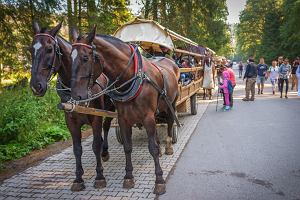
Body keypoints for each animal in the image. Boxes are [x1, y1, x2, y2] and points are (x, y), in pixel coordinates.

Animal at [29, 22, 114, 191]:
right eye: (30, 49)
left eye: (49, 49)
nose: (36, 86)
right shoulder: (70, 121)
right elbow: (77, 149)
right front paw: (78, 179)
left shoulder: (95, 117)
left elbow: (95, 145)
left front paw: (100, 176)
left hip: (109, 109)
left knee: (106, 127)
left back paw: (105, 151)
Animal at [69, 27, 179, 195]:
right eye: (69, 56)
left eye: (85, 57)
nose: (75, 95)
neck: (132, 77)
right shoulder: (123, 118)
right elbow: (127, 147)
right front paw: (128, 177)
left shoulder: (147, 117)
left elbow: (152, 148)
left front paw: (159, 180)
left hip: (171, 104)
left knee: (171, 122)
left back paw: (168, 146)